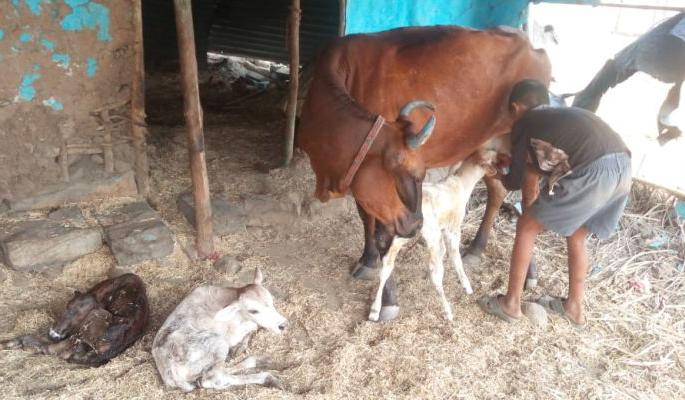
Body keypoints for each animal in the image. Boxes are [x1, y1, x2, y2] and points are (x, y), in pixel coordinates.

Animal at [297, 26, 551, 320]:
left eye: (421, 174)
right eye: (399, 168)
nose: (416, 225)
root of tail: (532, 44)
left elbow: (383, 237)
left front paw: (387, 300)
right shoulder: (364, 185)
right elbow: (366, 219)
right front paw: (368, 260)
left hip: (526, 149)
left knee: (529, 201)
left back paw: (529, 274)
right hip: (489, 146)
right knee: (498, 191)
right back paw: (476, 250)